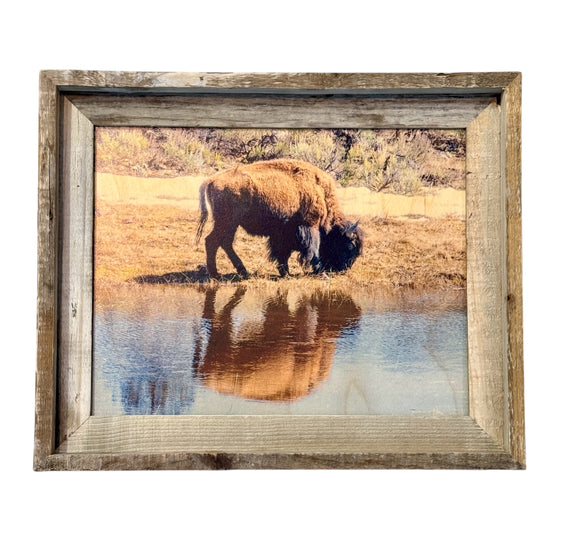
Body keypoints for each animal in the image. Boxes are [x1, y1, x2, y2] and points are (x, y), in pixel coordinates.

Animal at [196, 158, 362, 278]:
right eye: (349, 246)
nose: (343, 269)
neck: (319, 190)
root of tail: (211, 180)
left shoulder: (283, 233)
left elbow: (283, 253)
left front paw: (285, 272)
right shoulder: (310, 225)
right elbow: (313, 249)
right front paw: (318, 270)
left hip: (231, 224)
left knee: (224, 243)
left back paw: (242, 271)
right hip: (227, 222)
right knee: (212, 241)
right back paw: (216, 274)